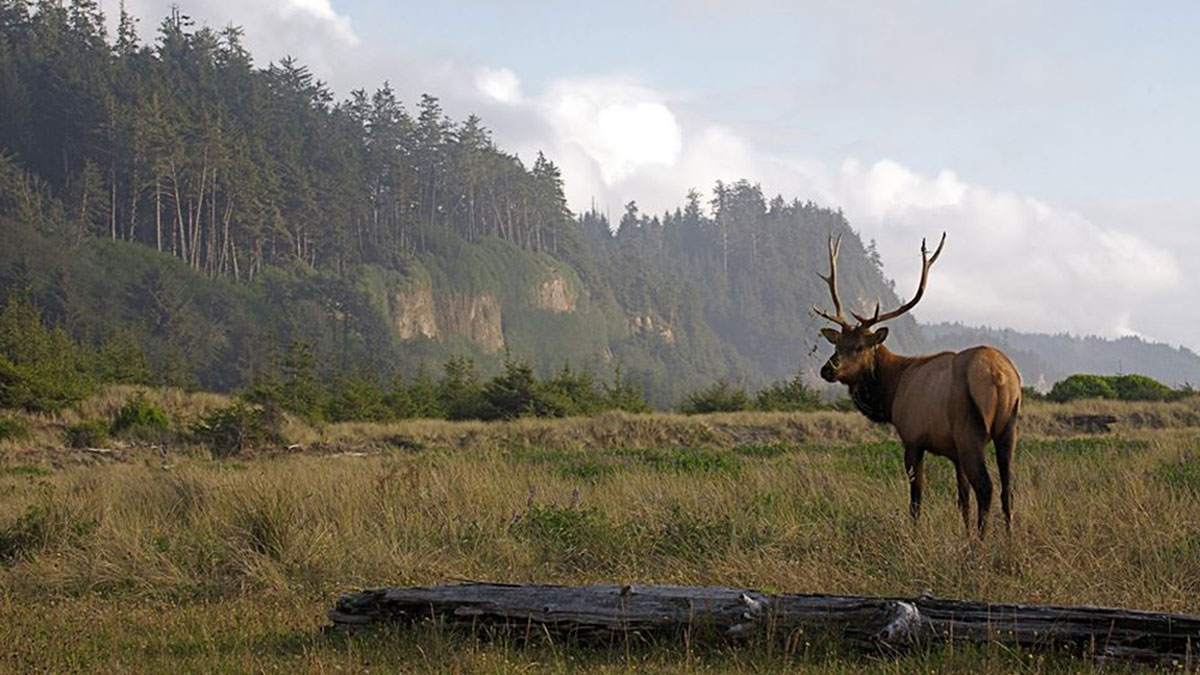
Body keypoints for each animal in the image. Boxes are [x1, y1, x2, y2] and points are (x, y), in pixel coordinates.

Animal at [814, 233, 1021, 536]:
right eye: (837, 344)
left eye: (860, 346)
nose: (828, 369)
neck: (891, 392)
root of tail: (1000, 377)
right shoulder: (954, 452)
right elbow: (962, 499)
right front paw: (965, 535)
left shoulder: (913, 438)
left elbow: (916, 497)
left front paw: (916, 534)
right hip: (1008, 429)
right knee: (1008, 489)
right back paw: (1007, 538)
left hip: (971, 430)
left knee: (986, 488)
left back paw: (983, 542)